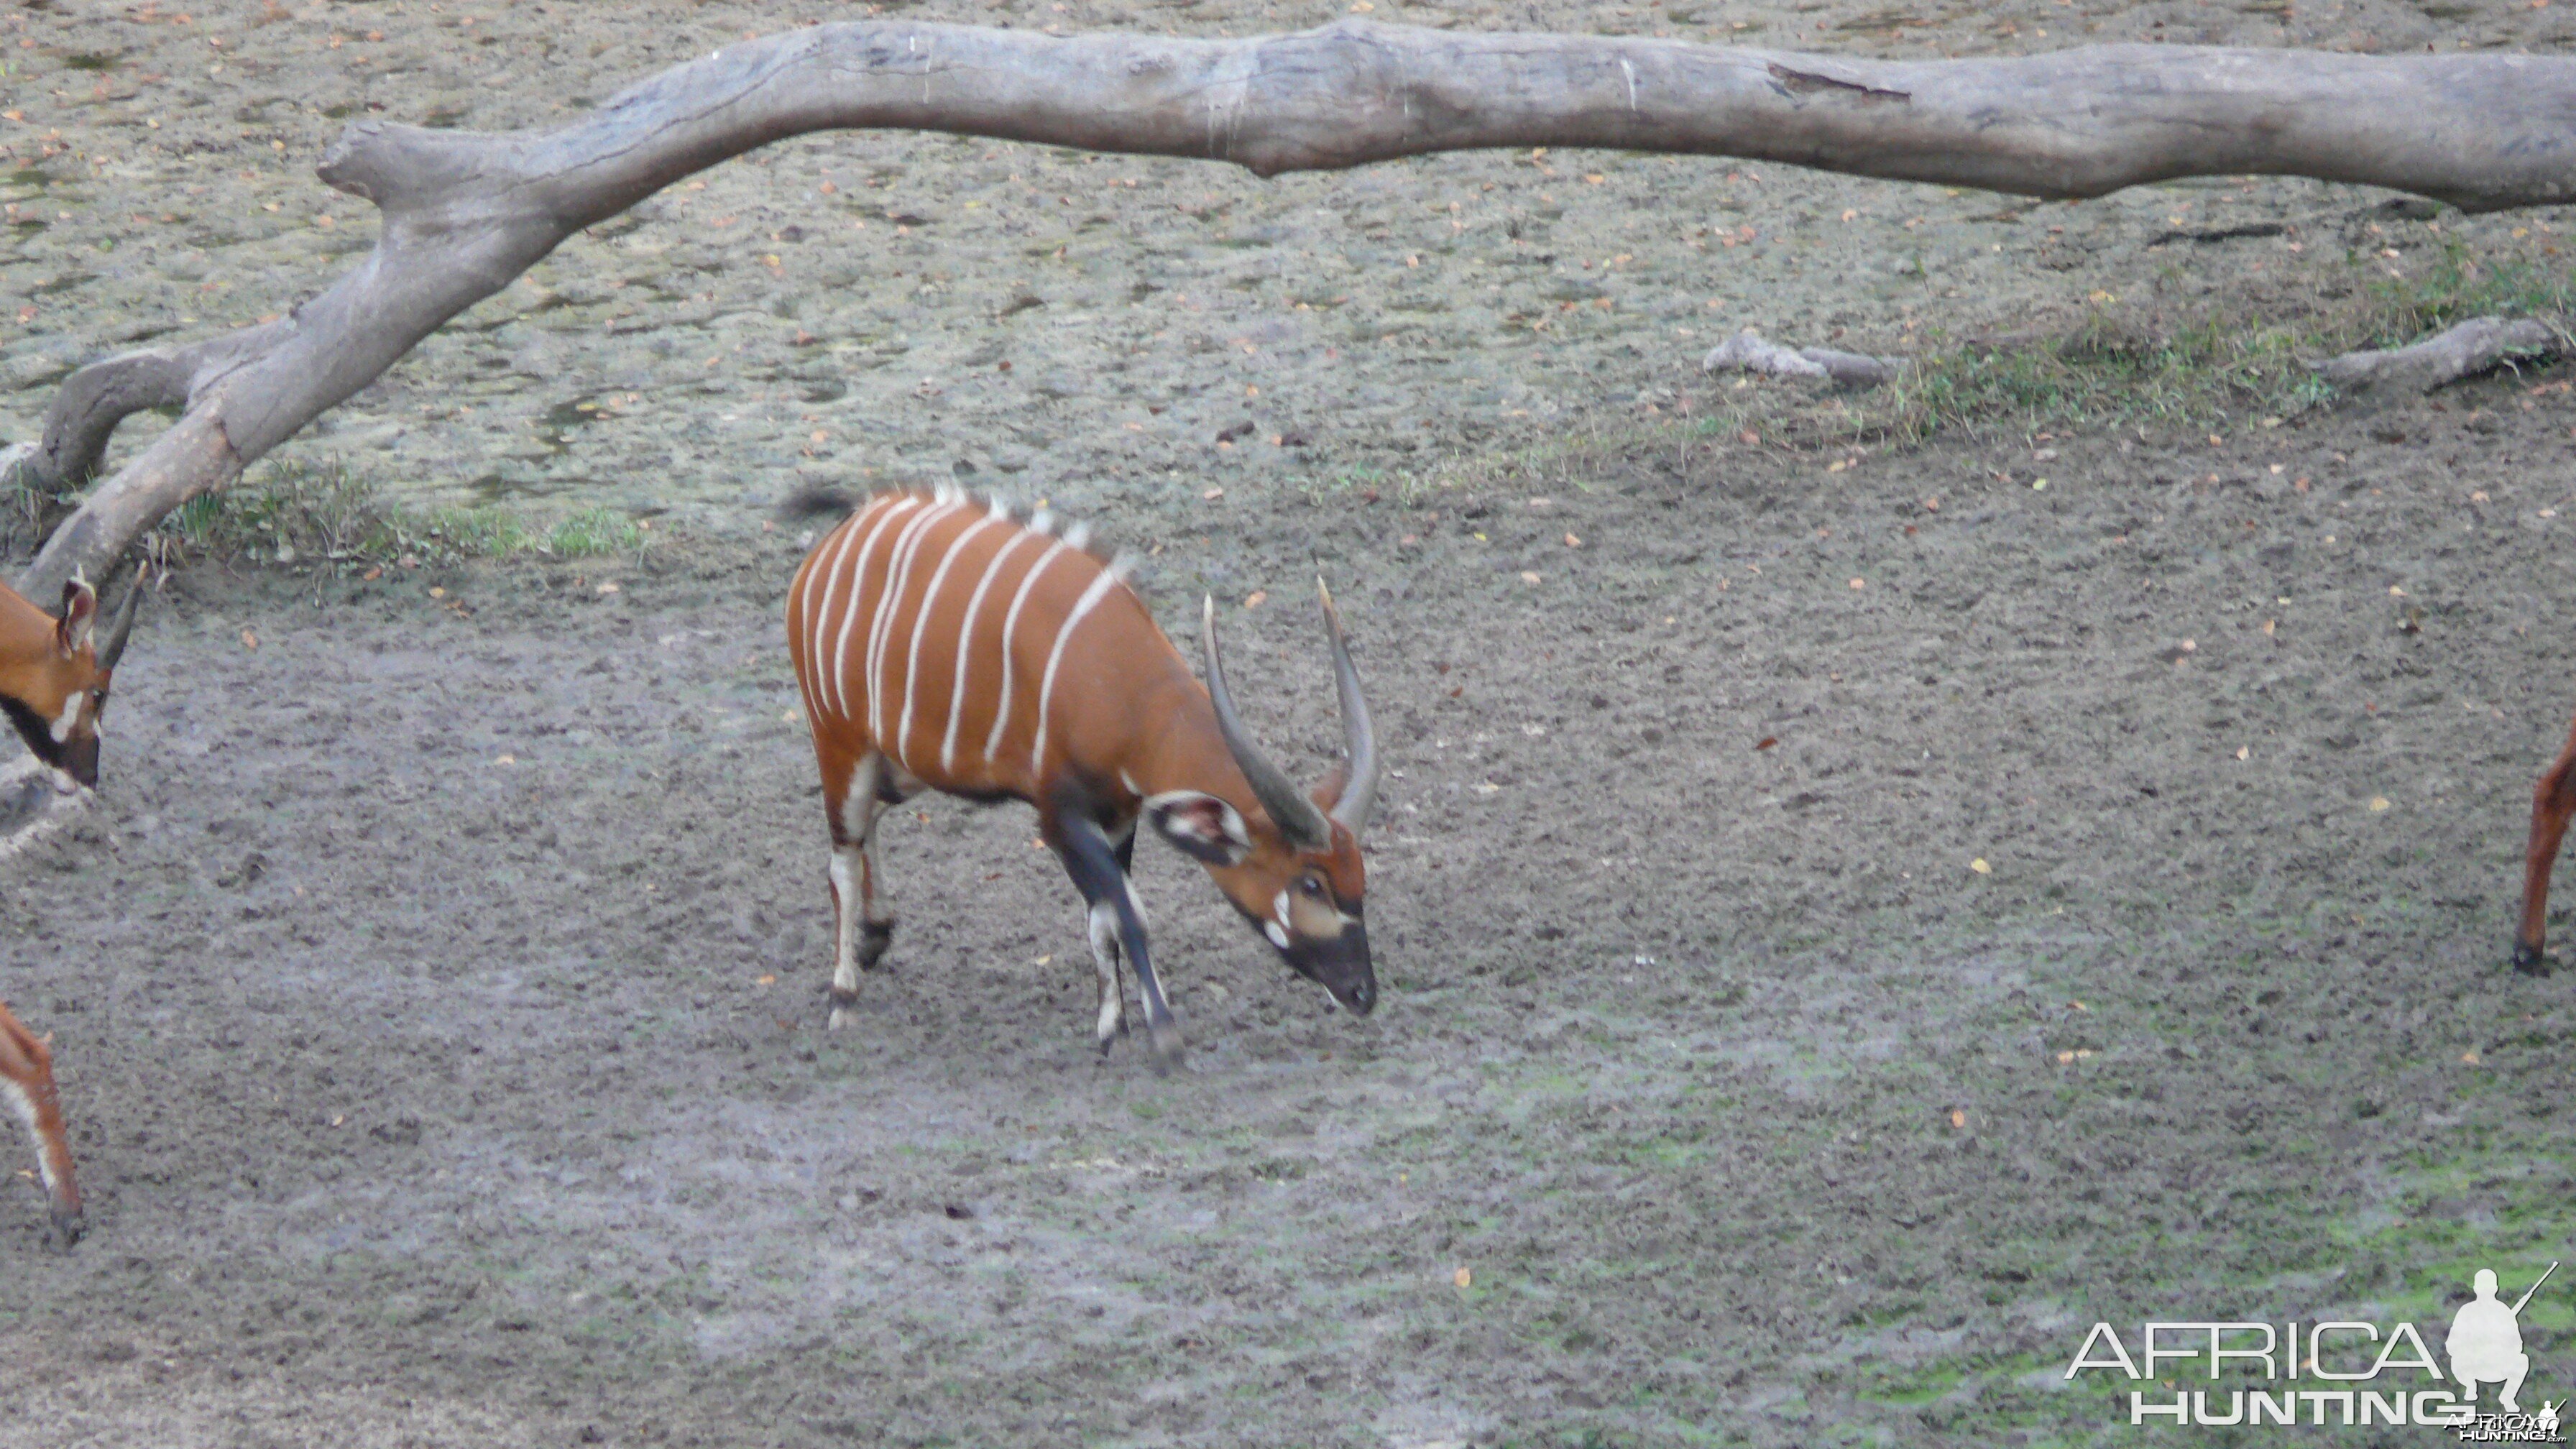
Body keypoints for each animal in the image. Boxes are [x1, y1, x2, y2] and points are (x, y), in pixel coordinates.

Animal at [778, 484, 1381, 1062]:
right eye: (1311, 882)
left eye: (1359, 878)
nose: (1363, 994)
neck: (1122, 690)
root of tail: (847, 528)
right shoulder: (1060, 818)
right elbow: (1128, 912)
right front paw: (1163, 1037)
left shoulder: (1118, 819)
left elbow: (1103, 919)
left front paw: (1114, 1029)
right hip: (840, 740)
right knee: (842, 858)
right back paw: (843, 995)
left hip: (904, 763)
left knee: (870, 824)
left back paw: (876, 935)